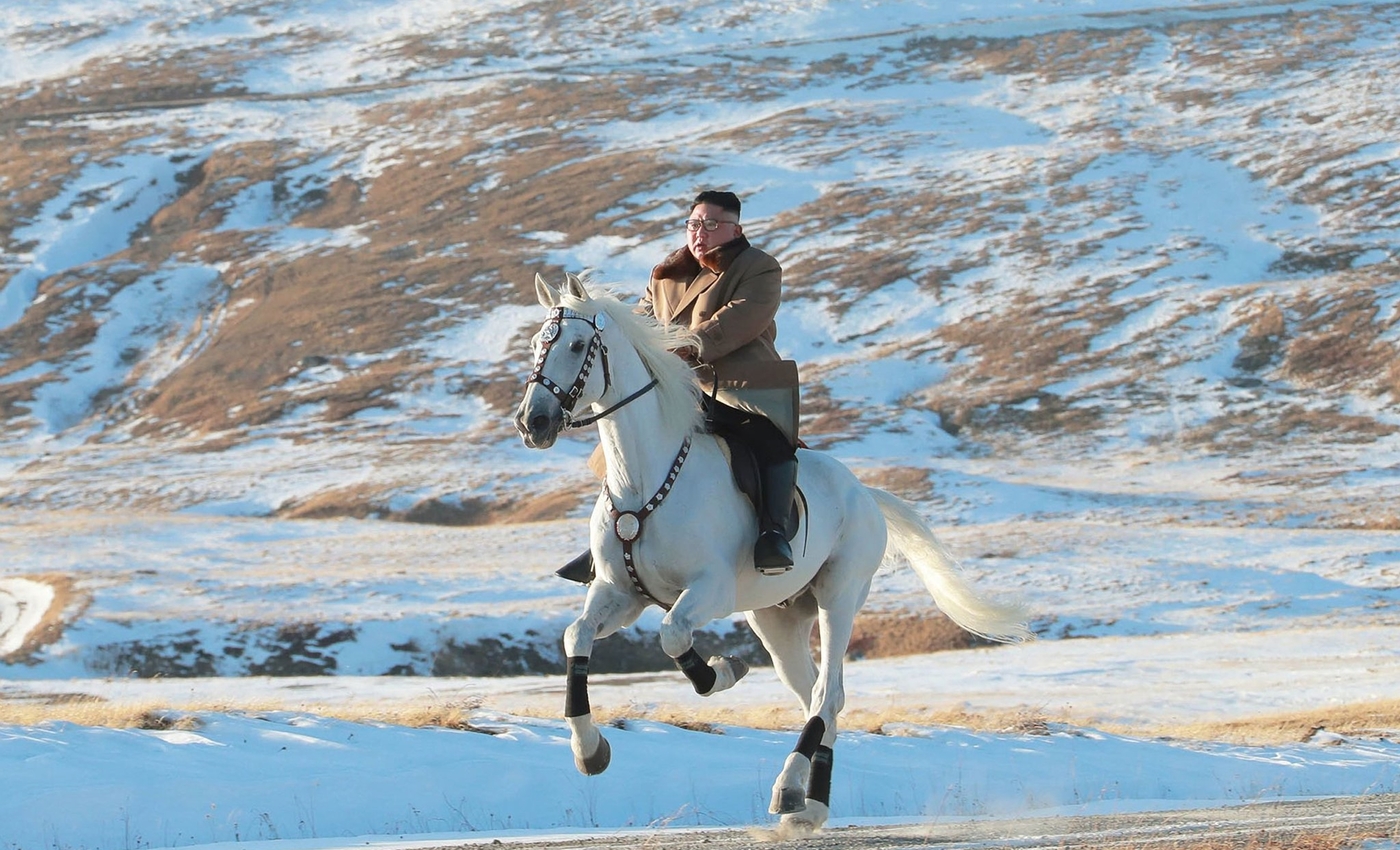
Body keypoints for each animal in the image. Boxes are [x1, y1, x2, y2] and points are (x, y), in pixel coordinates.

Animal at [515, 275, 1030, 834]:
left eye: (576, 345)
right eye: (536, 344)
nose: (532, 422)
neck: (644, 479)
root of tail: (865, 493)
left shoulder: (710, 590)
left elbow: (673, 635)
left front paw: (721, 672)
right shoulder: (620, 594)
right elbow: (577, 636)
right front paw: (589, 750)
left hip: (839, 596)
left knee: (827, 694)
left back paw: (789, 789)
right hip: (776, 620)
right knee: (819, 699)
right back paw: (810, 805)